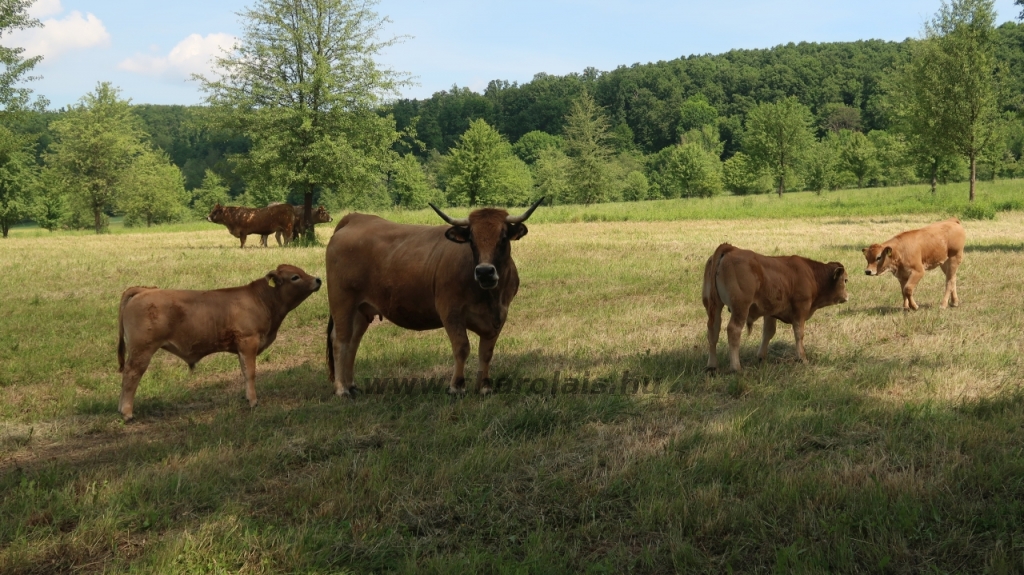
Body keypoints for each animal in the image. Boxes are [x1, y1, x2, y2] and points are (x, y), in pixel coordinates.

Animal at [114, 261, 319, 419]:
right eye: (295, 277)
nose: (318, 280)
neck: (264, 301)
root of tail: (144, 291)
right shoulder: (248, 342)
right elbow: (250, 373)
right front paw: (253, 401)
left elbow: (244, 371)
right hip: (142, 349)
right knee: (131, 375)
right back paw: (127, 412)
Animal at [325, 196, 544, 392]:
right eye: (471, 239)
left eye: (503, 237)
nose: (484, 272)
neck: (489, 297)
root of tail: (355, 218)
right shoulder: (450, 311)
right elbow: (462, 347)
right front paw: (456, 386)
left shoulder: (500, 315)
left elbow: (486, 352)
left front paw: (484, 387)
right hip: (342, 302)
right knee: (340, 340)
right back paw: (341, 389)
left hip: (361, 309)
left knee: (353, 342)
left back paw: (352, 385)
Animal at [704, 241, 847, 372]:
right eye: (845, 280)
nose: (846, 296)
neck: (810, 273)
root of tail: (731, 249)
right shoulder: (800, 310)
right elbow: (799, 334)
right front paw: (802, 358)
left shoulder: (770, 312)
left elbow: (768, 332)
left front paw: (761, 357)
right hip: (740, 308)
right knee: (733, 330)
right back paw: (736, 367)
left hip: (714, 306)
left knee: (713, 330)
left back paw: (712, 366)